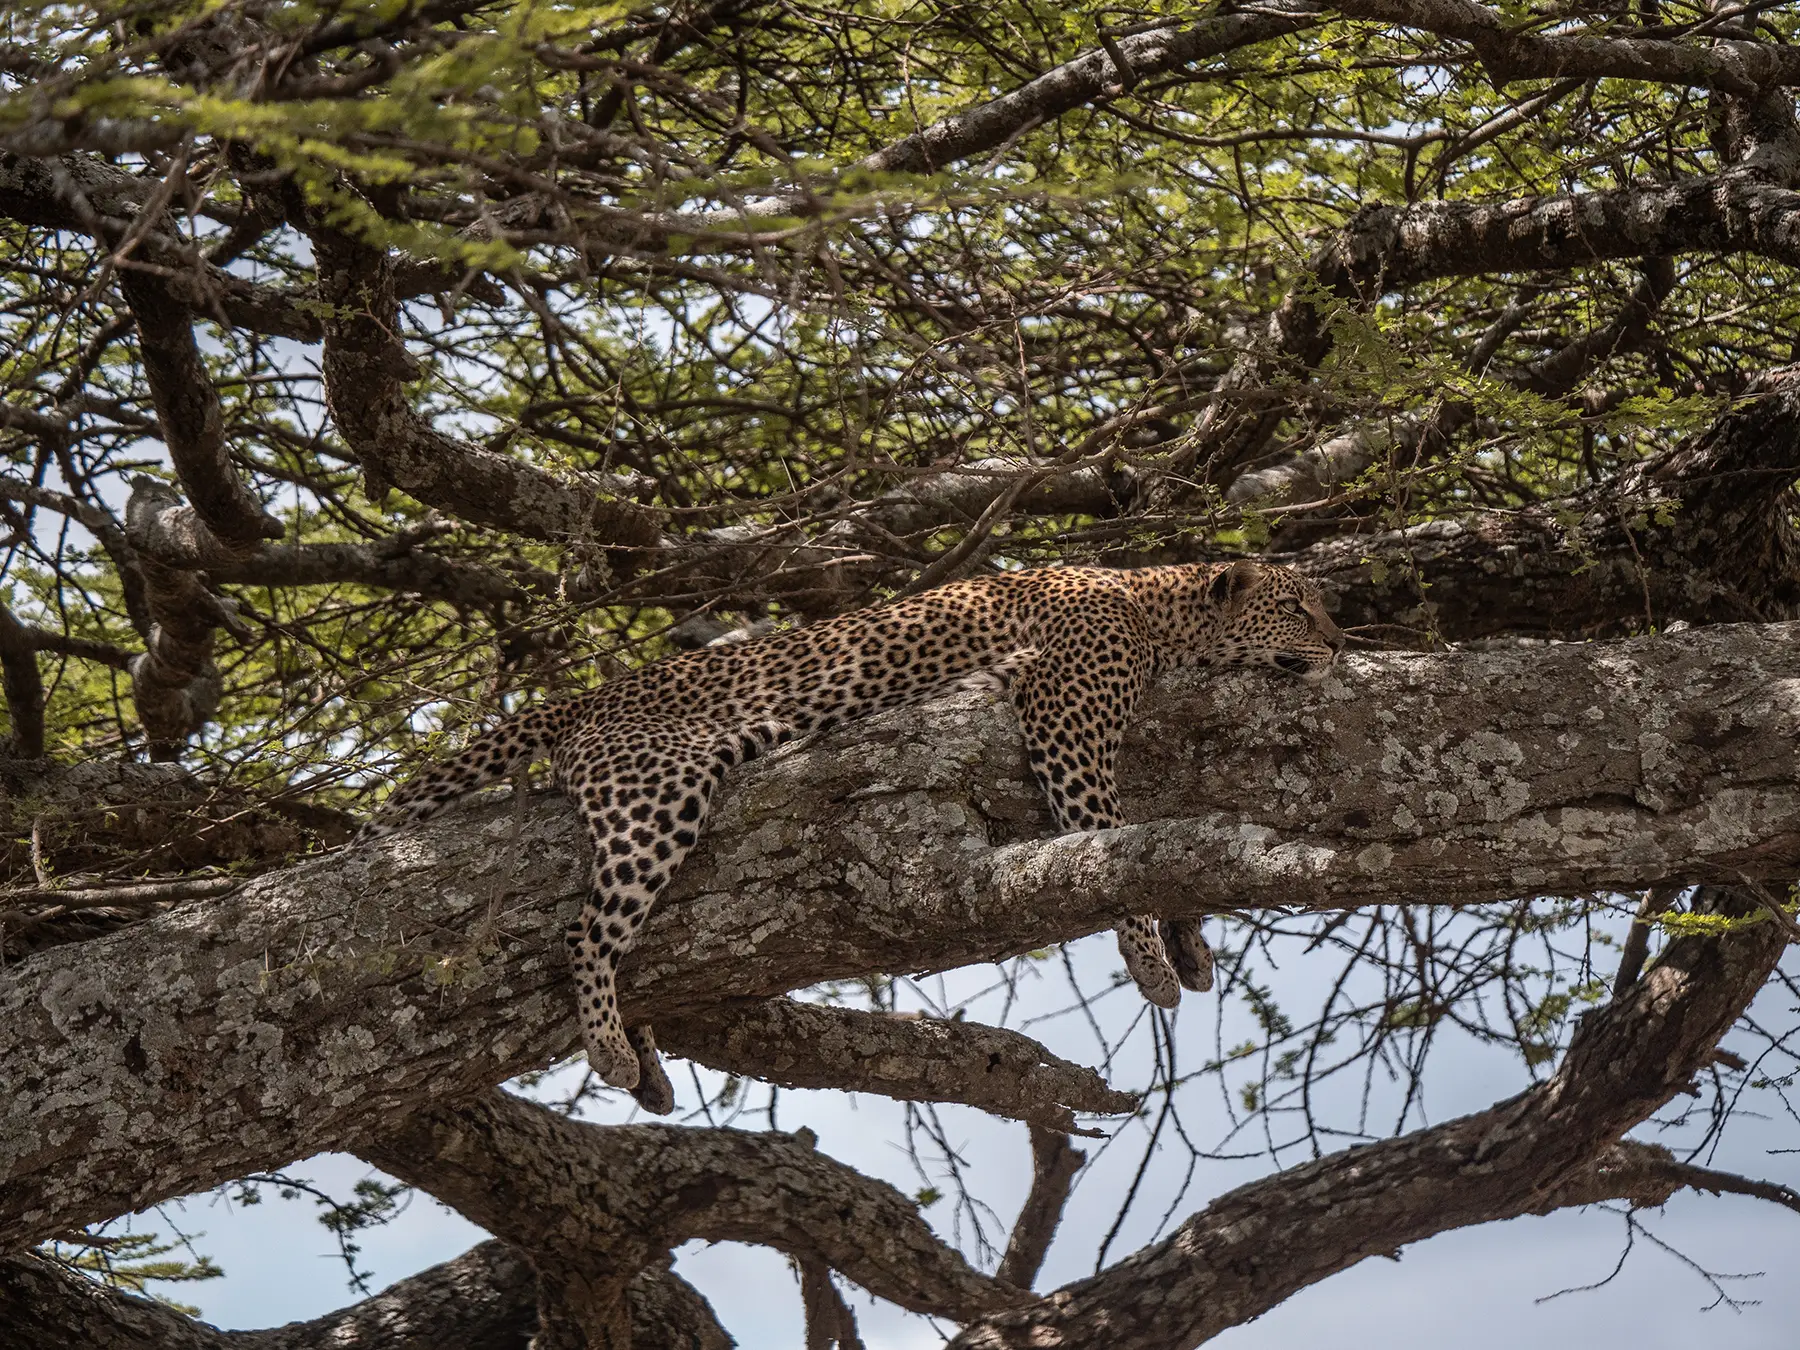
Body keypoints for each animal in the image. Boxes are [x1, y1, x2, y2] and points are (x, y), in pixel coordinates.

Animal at [361, 558, 1339, 1108]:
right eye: (1299, 609)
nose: (1340, 643)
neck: (1156, 607)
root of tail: (592, 696)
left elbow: (1141, 846)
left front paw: (1190, 943)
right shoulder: (1065, 719)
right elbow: (1104, 839)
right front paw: (1151, 961)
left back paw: (646, 1063)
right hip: (658, 790)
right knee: (586, 929)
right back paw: (607, 1044)